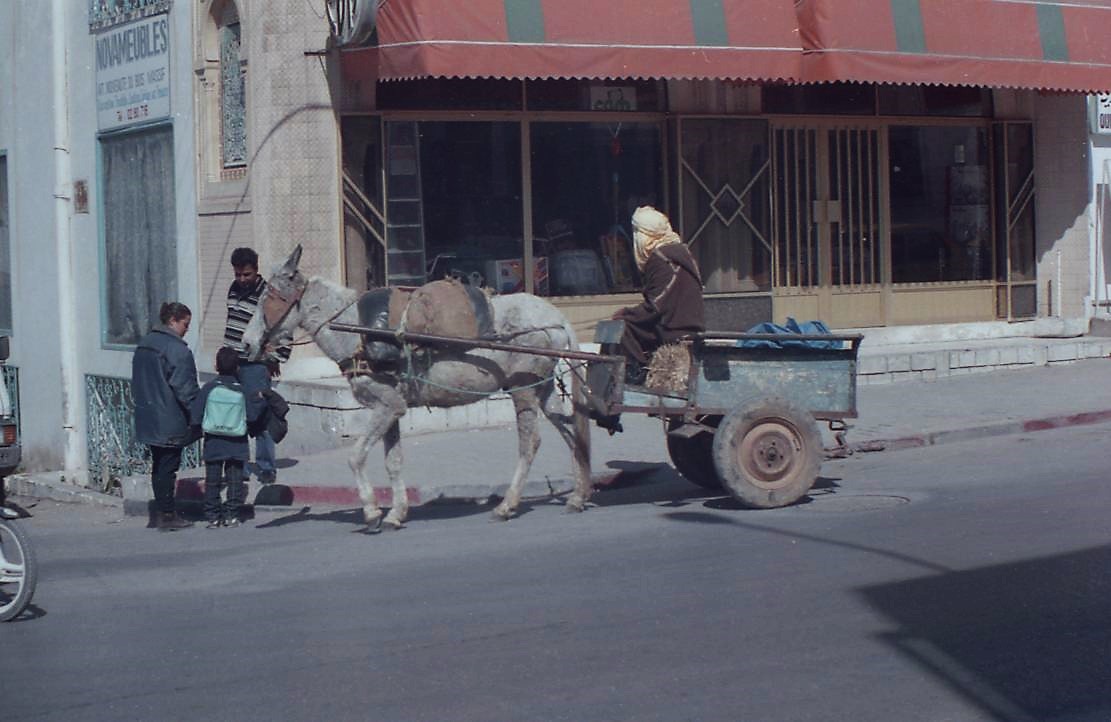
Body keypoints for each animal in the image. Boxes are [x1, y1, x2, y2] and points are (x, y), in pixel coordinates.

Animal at [241, 245, 593, 532]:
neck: (355, 330)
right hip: (544, 390)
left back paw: (507, 505)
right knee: (572, 432)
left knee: (530, 443)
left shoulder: (385, 405)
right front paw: (396, 513)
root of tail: (556, 316)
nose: (246, 344)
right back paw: (578, 495)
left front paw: (372, 513)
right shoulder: (394, 408)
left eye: (267, 296)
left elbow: (356, 457)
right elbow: (393, 461)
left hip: (523, 387)